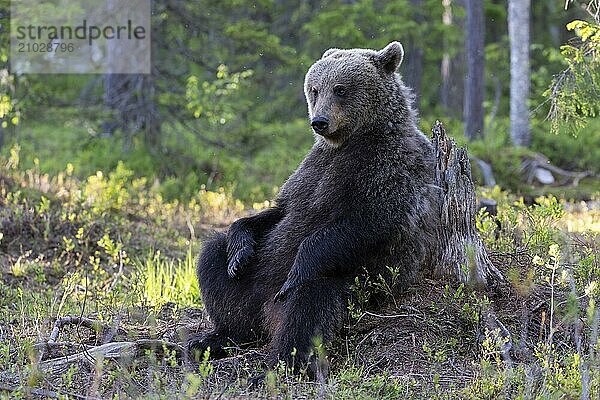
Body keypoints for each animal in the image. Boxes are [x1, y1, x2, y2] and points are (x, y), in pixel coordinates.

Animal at [189, 40, 440, 372]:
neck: (353, 139)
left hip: (351, 282)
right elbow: (281, 209)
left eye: (341, 88)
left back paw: (282, 360)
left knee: (309, 306)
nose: (319, 121)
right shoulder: (312, 168)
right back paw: (218, 335)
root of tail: (266, 312)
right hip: (252, 282)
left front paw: (298, 269)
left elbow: (366, 221)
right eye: (315, 89)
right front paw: (239, 249)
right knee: (214, 263)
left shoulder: (387, 166)